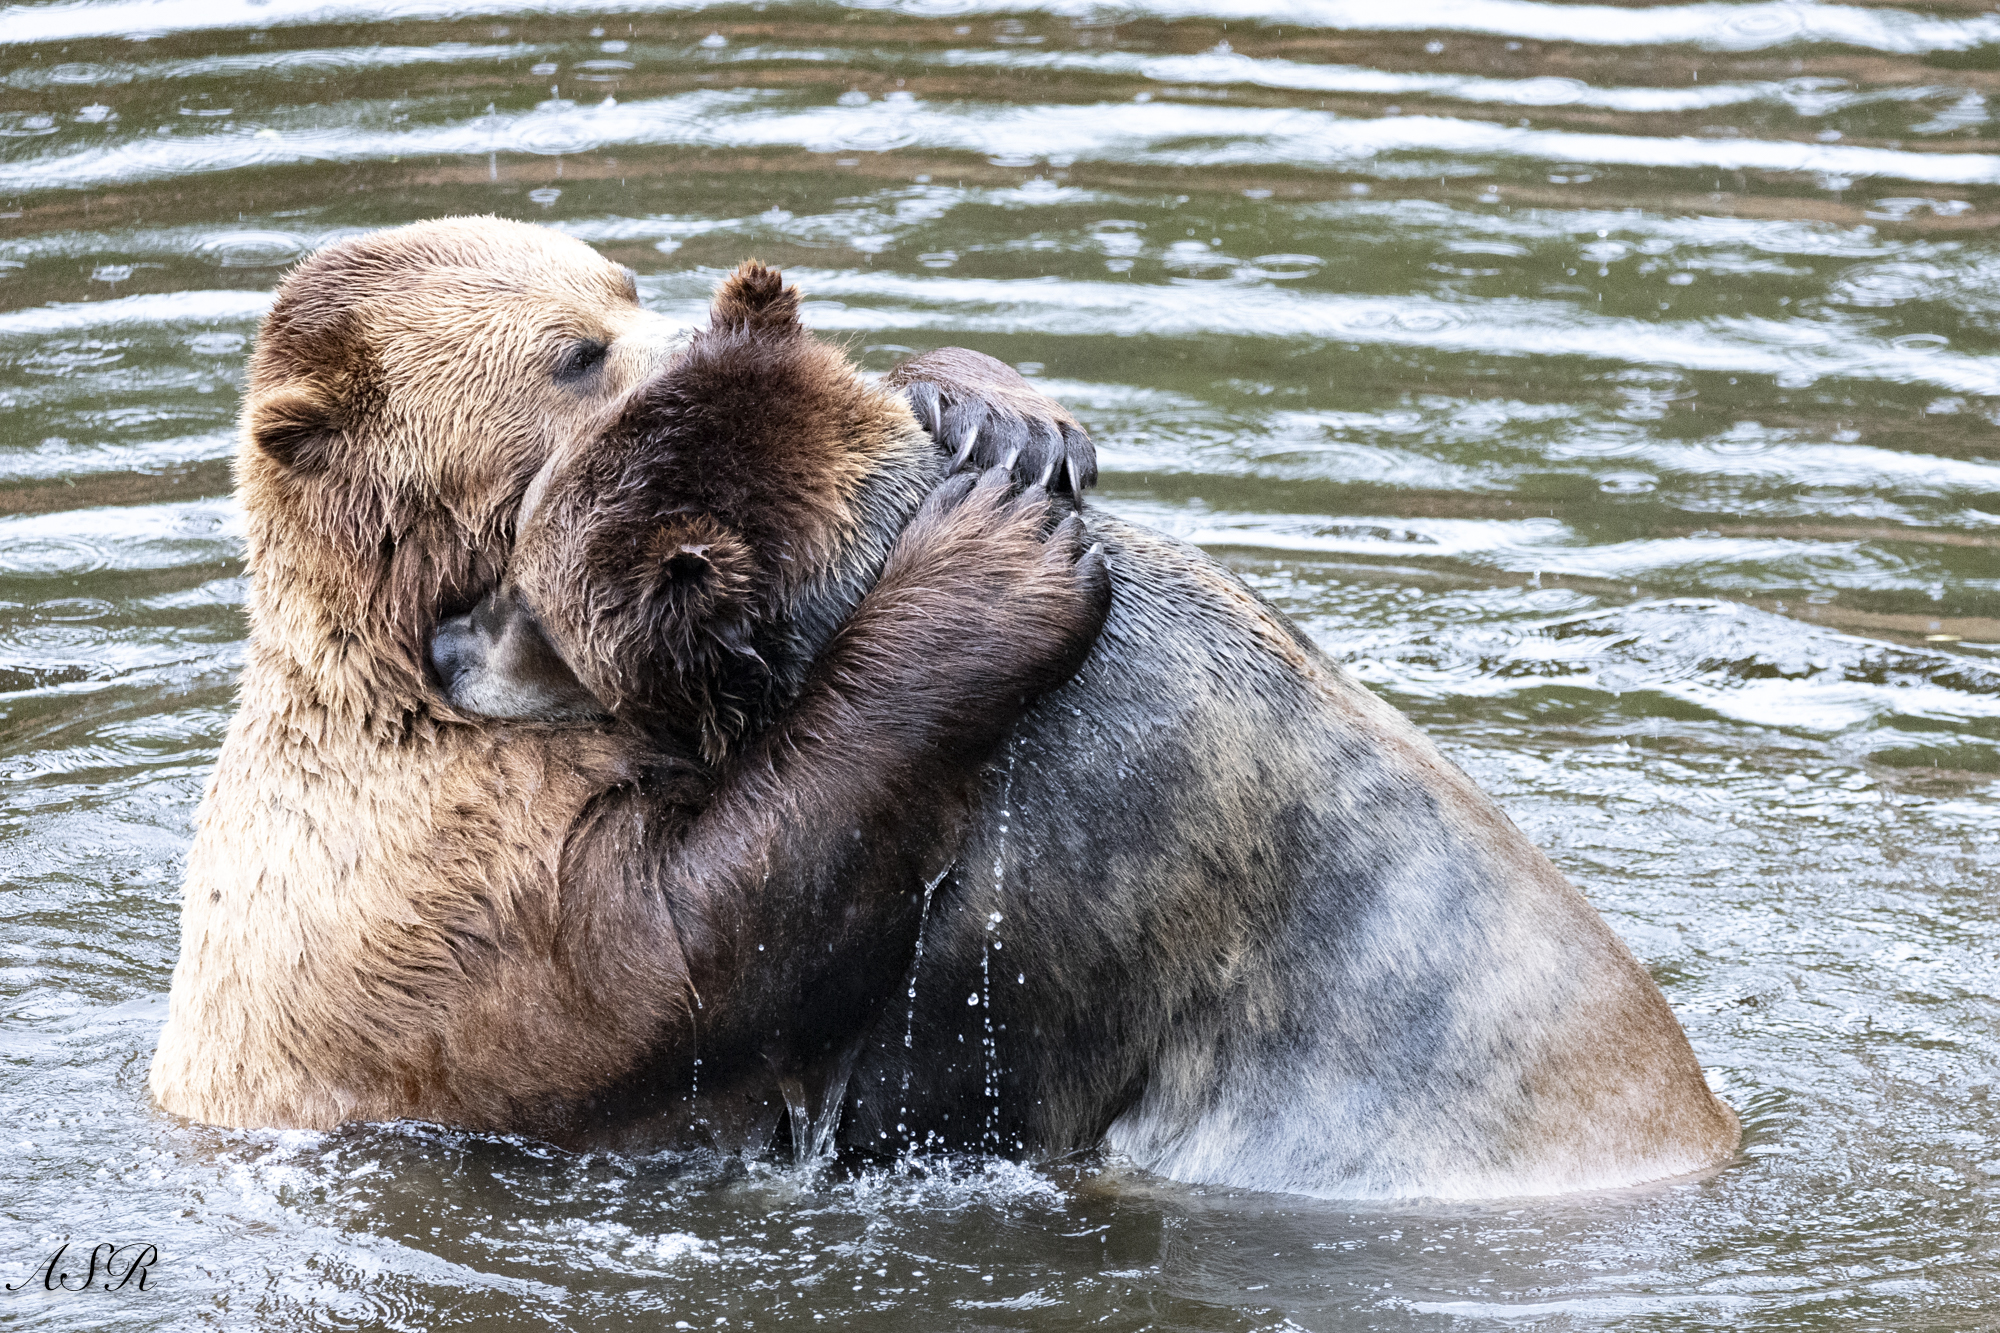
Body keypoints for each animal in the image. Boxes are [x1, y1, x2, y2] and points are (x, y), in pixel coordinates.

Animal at [148, 216, 1108, 1149]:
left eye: (624, 284)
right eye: (576, 353)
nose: (696, 338)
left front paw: (1001, 416)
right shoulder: (451, 875)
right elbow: (692, 957)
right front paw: (990, 570)